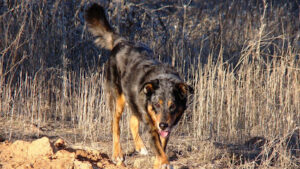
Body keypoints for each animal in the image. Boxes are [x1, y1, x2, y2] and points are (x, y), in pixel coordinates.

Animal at [85, 3, 192, 169]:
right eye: (156, 104)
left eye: (172, 105)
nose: (163, 125)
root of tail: (121, 41)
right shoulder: (152, 125)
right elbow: (159, 148)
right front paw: (164, 162)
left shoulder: (166, 126)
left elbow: (161, 146)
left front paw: (158, 163)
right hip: (118, 100)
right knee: (115, 125)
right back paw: (117, 154)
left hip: (134, 99)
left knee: (132, 121)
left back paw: (140, 147)